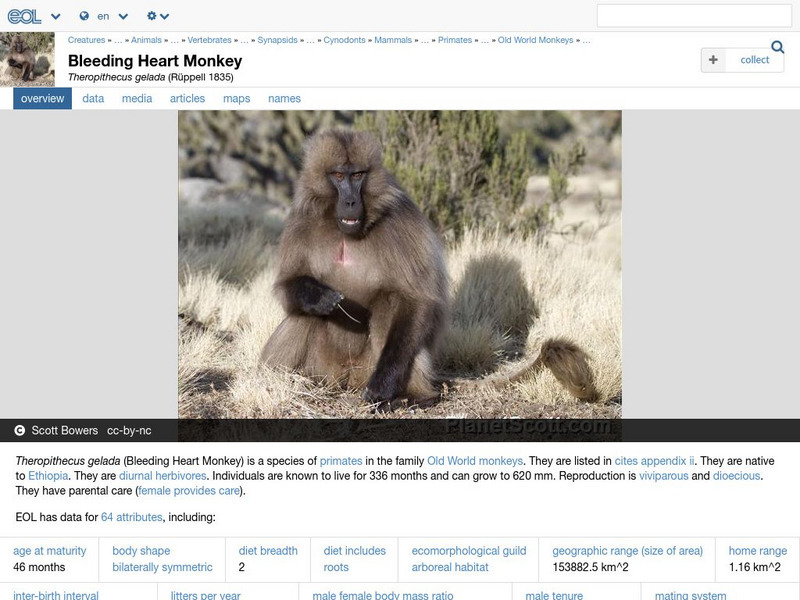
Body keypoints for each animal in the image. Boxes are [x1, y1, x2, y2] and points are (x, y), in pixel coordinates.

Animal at [261, 129, 597, 406]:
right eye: (338, 176)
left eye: (357, 175)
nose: (351, 202)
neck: (345, 229)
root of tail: (346, 379)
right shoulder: (300, 219)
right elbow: (289, 287)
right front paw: (320, 296)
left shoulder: (403, 221)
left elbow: (417, 299)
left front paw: (383, 388)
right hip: (325, 369)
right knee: (304, 314)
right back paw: (290, 378)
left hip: (371, 367)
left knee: (391, 303)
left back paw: (413, 398)